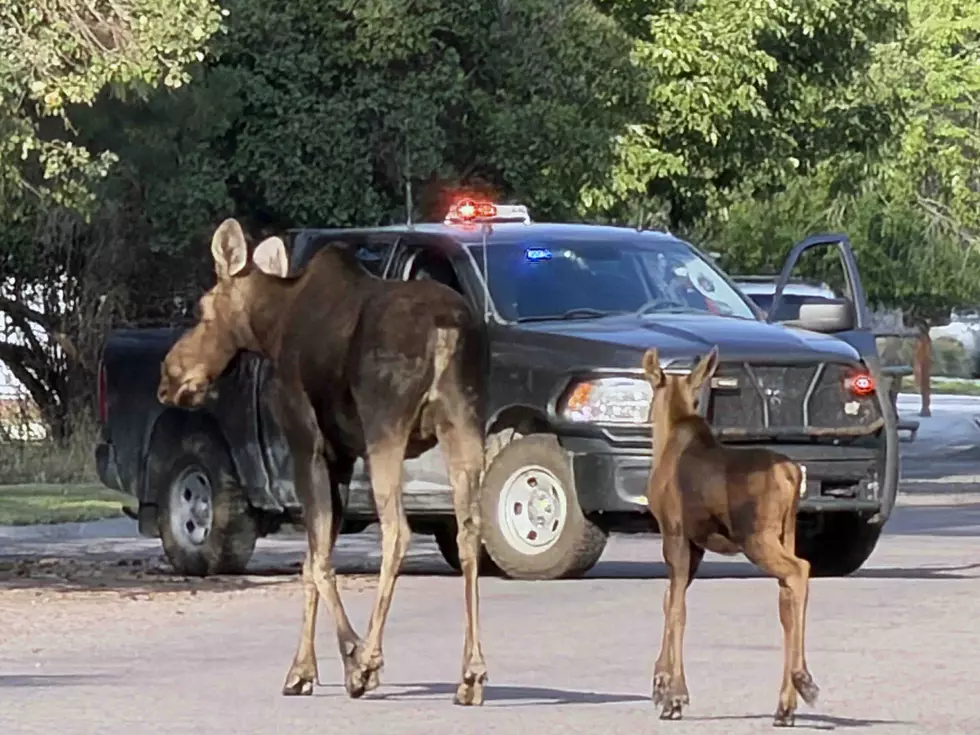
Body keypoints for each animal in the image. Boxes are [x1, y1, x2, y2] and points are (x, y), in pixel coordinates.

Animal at [156, 218, 489, 706]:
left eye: (201, 310)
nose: (168, 377)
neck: (271, 329)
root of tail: (448, 330)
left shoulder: (307, 442)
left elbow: (315, 560)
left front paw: (342, 662)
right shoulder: (342, 456)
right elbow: (315, 557)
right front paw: (306, 669)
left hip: (385, 428)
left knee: (397, 532)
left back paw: (370, 653)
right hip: (463, 426)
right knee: (468, 532)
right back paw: (471, 673)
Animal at [641, 346, 819, 727]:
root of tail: (792, 473)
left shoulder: (674, 532)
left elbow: (677, 607)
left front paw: (675, 695)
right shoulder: (695, 544)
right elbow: (669, 598)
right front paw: (661, 683)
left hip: (757, 537)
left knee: (800, 570)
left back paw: (803, 681)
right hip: (786, 532)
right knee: (786, 599)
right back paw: (786, 704)